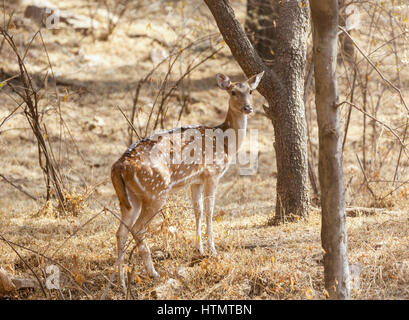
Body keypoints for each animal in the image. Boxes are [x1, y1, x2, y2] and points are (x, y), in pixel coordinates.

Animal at [111, 71, 264, 292]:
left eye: (250, 91)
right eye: (233, 91)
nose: (248, 108)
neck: (226, 144)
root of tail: (118, 167)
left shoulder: (195, 180)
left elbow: (197, 211)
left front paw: (198, 249)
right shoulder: (212, 173)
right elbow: (209, 211)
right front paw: (213, 250)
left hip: (129, 198)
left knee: (120, 232)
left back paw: (121, 283)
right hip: (155, 192)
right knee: (138, 229)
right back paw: (153, 273)